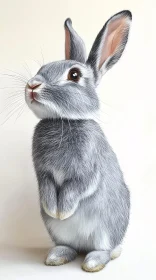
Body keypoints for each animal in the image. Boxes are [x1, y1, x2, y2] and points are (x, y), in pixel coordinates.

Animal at [25, 10, 132, 272]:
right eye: (43, 67)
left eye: (74, 75)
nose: (32, 85)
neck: (63, 120)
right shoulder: (43, 173)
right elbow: (46, 187)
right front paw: (53, 210)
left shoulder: (87, 170)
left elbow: (79, 186)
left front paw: (63, 212)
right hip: (58, 233)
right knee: (69, 247)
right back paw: (56, 257)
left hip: (106, 229)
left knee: (103, 249)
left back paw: (94, 262)